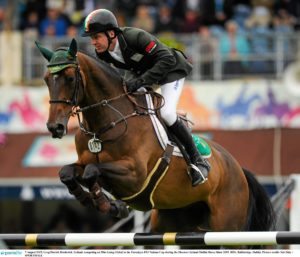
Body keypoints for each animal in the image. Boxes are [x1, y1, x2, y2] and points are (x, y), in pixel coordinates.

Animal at [35, 39, 274, 234]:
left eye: (69, 78)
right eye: (46, 79)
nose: (55, 127)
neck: (105, 124)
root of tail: (238, 169)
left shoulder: (135, 174)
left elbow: (92, 171)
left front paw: (109, 205)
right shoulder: (84, 162)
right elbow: (67, 173)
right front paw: (91, 199)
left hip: (227, 225)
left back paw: (199, 168)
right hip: (173, 220)